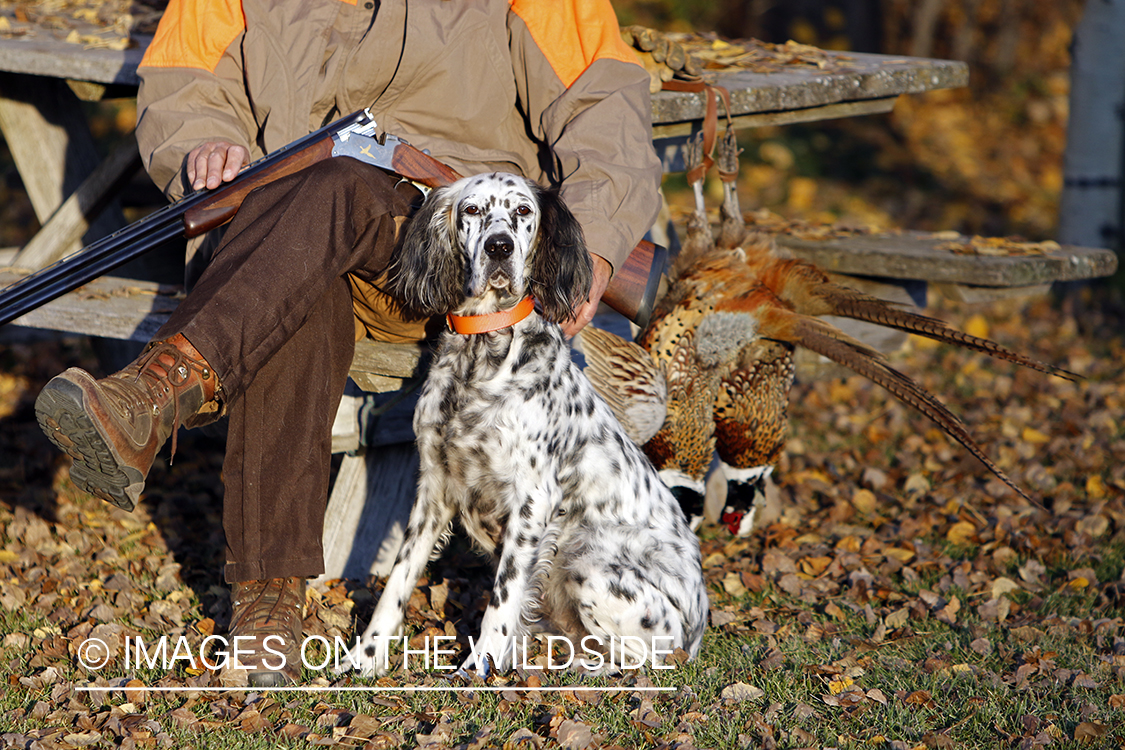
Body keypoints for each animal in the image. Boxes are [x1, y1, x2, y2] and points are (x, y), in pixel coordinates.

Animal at [346, 173, 706, 679]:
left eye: (522, 212)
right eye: (472, 210)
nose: (499, 247)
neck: (481, 353)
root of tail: (698, 630)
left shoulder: (533, 499)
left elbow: (503, 596)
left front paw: (479, 666)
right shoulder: (434, 487)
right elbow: (398, 577)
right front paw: (366, 656)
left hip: (589, 561)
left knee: (647, 660)